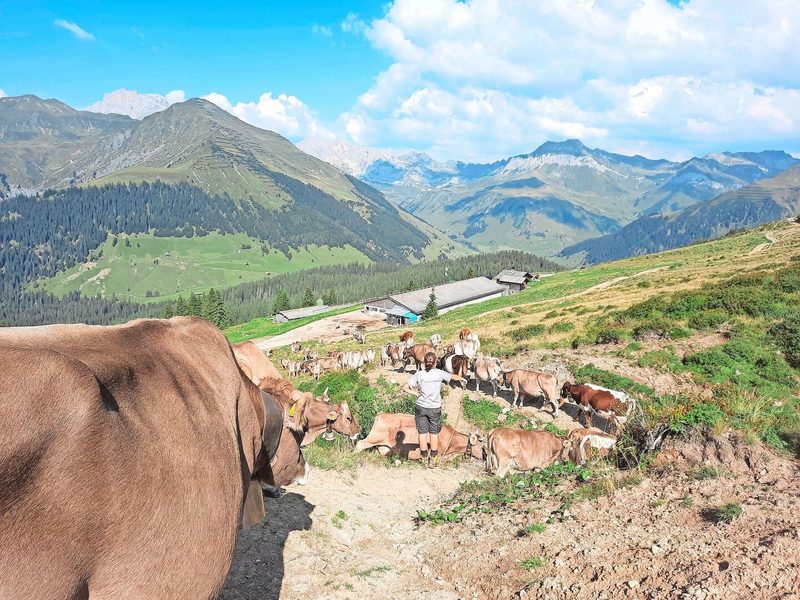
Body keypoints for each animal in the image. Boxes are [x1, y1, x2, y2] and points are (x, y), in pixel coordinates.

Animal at [355, 413, 485, 462]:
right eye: (482, 446)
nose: (485, 457)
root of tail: (382, 414)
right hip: (374, 438)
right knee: (359, 444)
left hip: (383, 447)